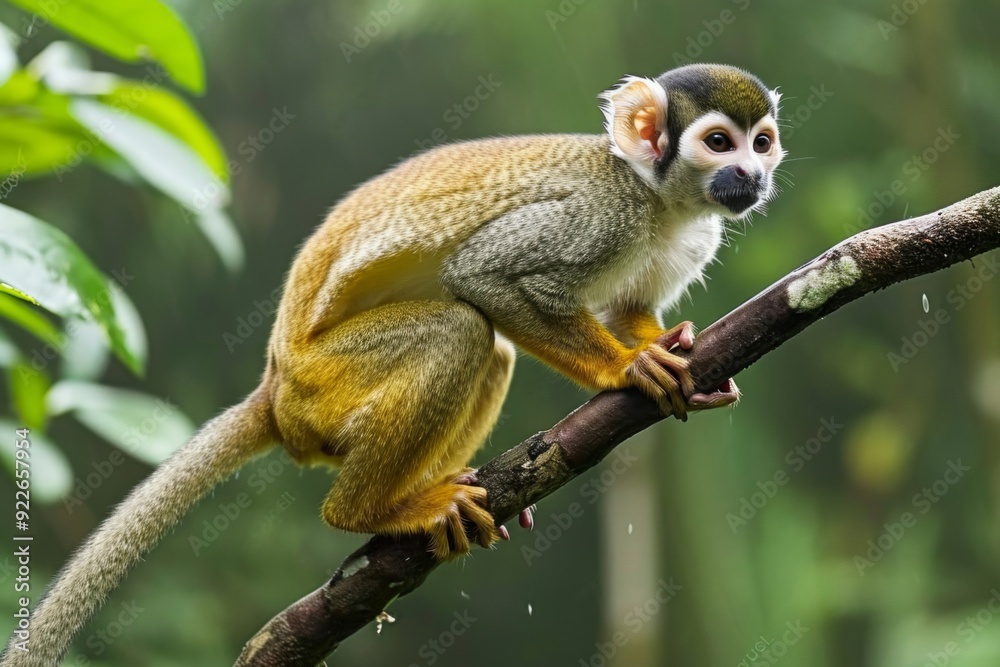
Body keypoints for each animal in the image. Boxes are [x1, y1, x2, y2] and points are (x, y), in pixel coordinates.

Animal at [1, 63, 784, 665]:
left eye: (763, 143)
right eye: (719, 142)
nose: (750, 173)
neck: (659, 201)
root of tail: (275, 390)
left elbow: (626, 308)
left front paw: (664, 349)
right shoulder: (599, 212)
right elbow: (486, 277)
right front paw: (624, 372)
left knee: (489, 349)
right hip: (326, 382)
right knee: (463, 330)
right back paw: (367, 510)